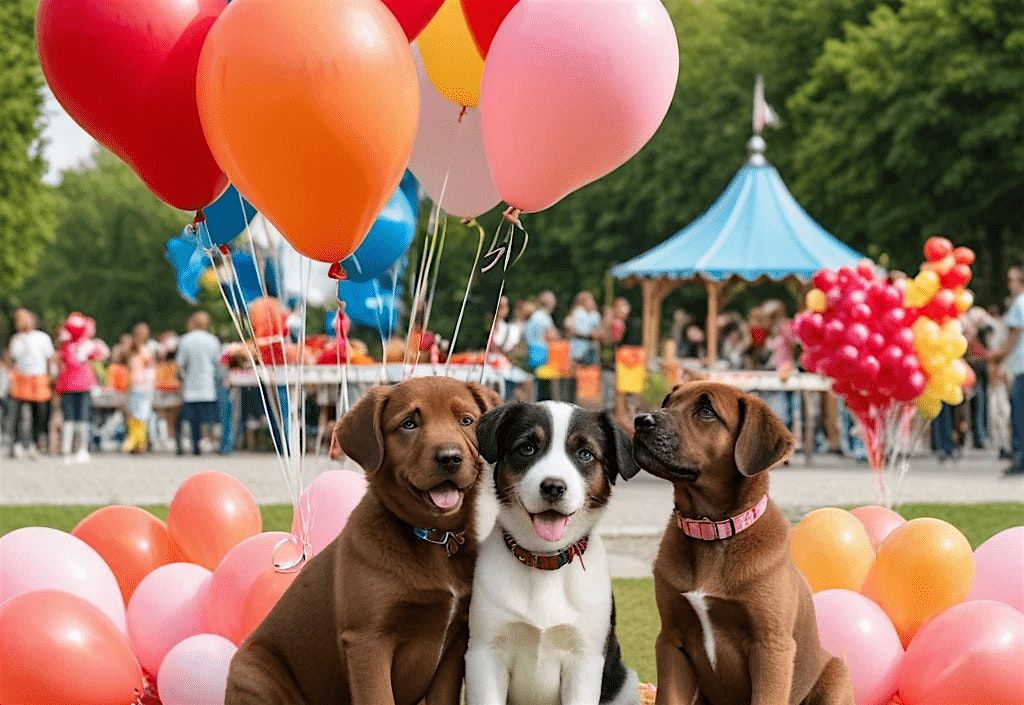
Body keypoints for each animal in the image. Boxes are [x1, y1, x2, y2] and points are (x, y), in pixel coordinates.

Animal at [230, 379, 505, 705]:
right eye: (409, 423)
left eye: (466, 420)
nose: (450, 457)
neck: (434, 538)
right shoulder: (368, 640)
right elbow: (378, 697)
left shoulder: (454, 644)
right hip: (254, 672)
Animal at [466, 401, 638, 705]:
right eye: (527, 448)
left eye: (585, 454)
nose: (553, 487)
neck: (544, 562)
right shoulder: (484, 653)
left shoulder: (585, 658)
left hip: (625, 683)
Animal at [630, 379, 856, 705]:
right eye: (668, 403)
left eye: (706, 410)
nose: (640, 420)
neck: (711, 531)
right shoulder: (672, 640)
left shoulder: (771, 647)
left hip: (837, 675)